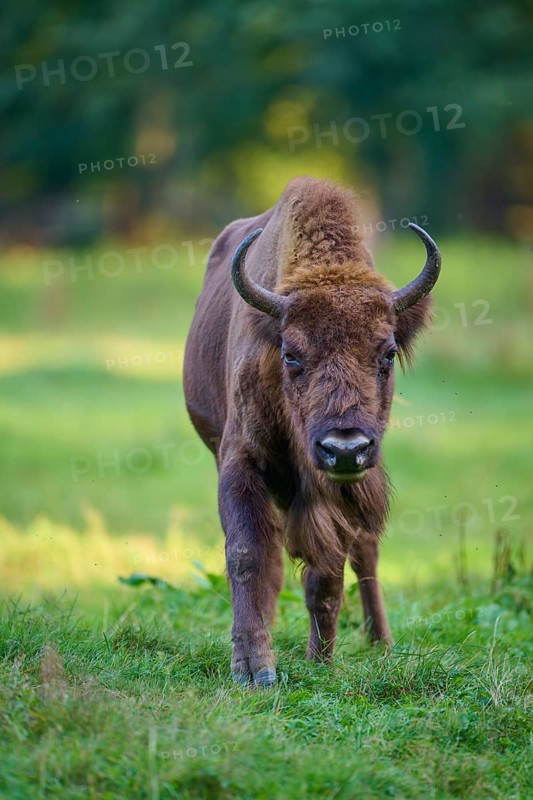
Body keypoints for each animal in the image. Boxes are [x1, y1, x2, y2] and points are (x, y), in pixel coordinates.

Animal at [184, 177, 441, 686]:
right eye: (292, 354)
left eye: (386, 353)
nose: (344, 448)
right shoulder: (240, 461)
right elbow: (247, 553)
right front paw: (255, 668)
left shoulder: (339, 489)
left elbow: (328, 569)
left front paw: (319, 659)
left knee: (364, 553)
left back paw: (381, 642)